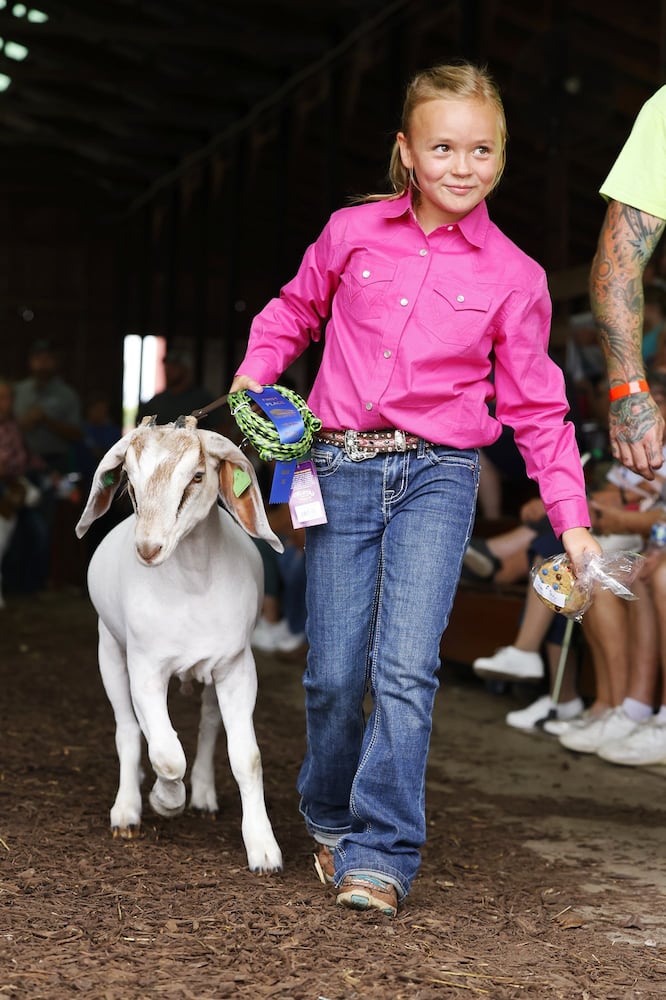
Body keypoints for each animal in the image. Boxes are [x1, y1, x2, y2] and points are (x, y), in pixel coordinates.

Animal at [75, 418, 282, 872]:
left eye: (198, 476)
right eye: (129, 481)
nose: (148, 548)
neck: (191, 585)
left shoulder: (236, 667)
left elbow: (247, 757)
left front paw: (263, 848)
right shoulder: (145, 667)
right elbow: (166, 753)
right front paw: (165, 800)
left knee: (207, 726)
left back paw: (202, 794)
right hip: (108, 650)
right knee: (128, 730)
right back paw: (128, 809)